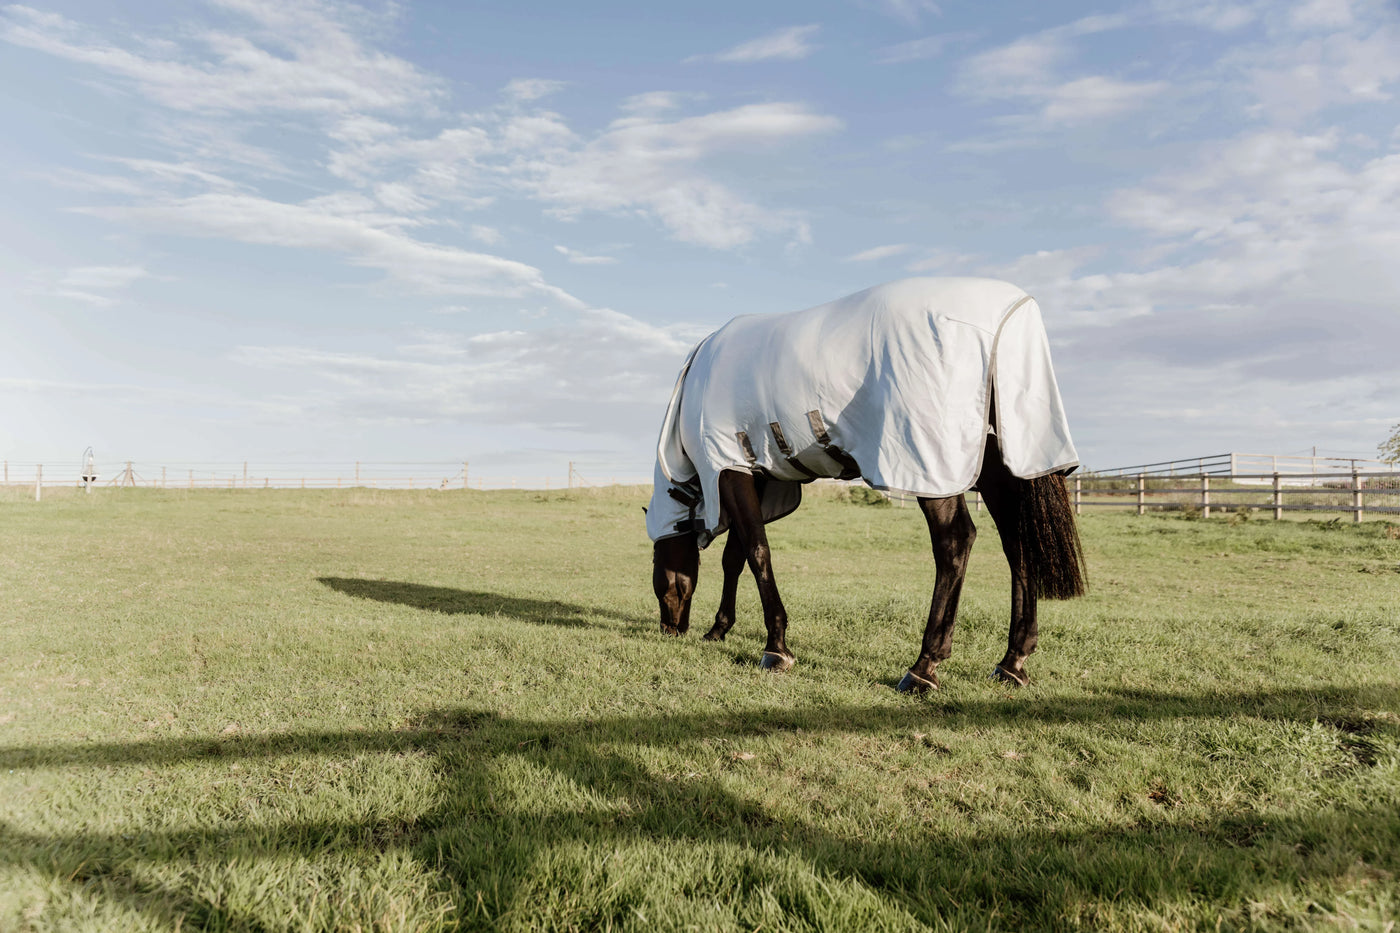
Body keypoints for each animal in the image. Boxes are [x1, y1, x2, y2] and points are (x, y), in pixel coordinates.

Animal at [646, 277, 1086, 692]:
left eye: (656, 574)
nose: (671, 629)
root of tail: (1008, 318)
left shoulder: (728, 470)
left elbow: (757, 554)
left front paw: (775, 648)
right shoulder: (758, 478)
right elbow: (736, 557)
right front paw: (720, 628)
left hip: (932, 467)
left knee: (956, 541)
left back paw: (923, 668)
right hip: (1001, 466)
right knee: (1019, 545)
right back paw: (1012, 662)